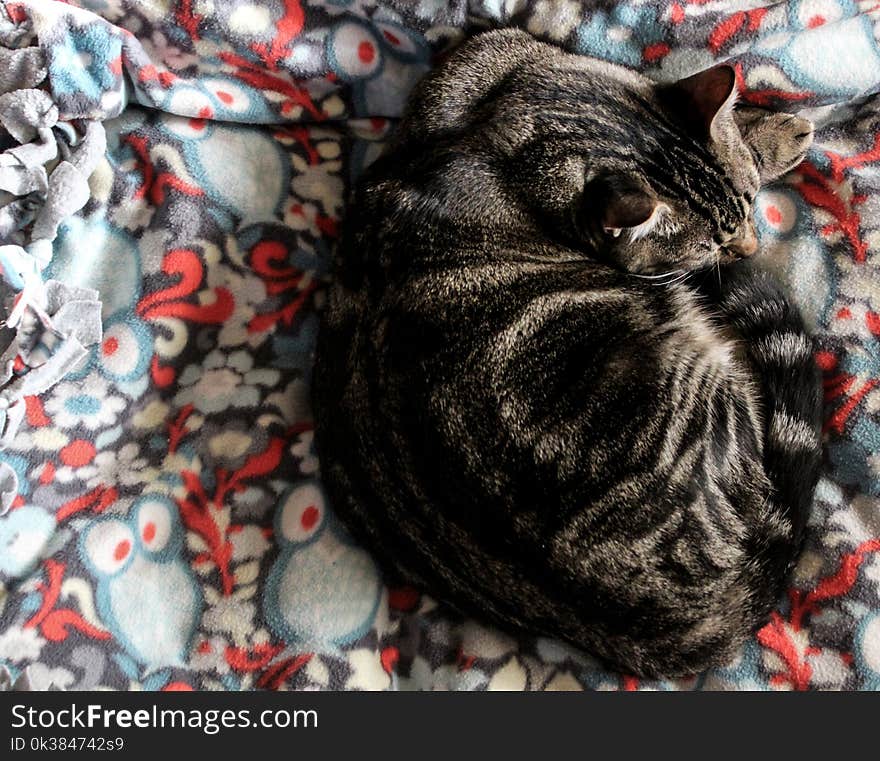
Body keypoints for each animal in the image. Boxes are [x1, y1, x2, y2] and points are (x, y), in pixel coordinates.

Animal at [312, 28, 820, 676]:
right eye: (712, 246)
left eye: (751, 204)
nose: (750, 249)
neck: (511, 131)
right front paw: (776, 136)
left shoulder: (469, 63)